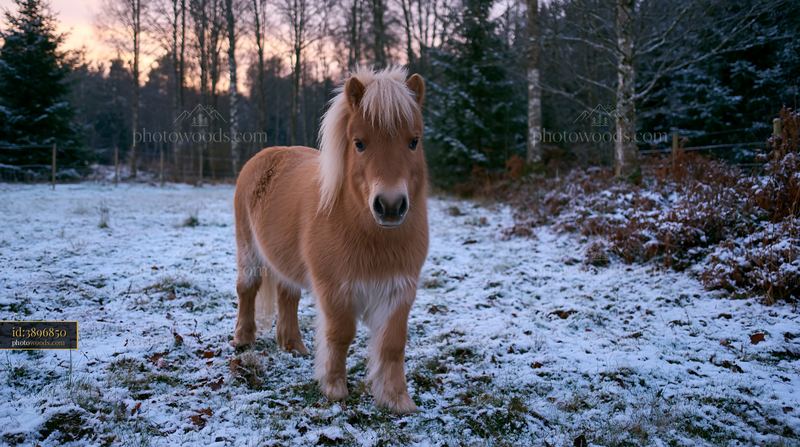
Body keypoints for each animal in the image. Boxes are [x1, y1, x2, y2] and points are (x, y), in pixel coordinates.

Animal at [231, 66, 428, 413]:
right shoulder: (334, 289)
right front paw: (335, 389)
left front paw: (397, 400)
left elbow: (392, 343)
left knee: (288, 296)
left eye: (413, 141)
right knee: (248, 289)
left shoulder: (399, 290)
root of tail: (266, 156)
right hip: (249, 251)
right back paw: (243, 339)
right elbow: (340, 334)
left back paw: (293, 345)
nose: (390, 206)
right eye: (359, 143)